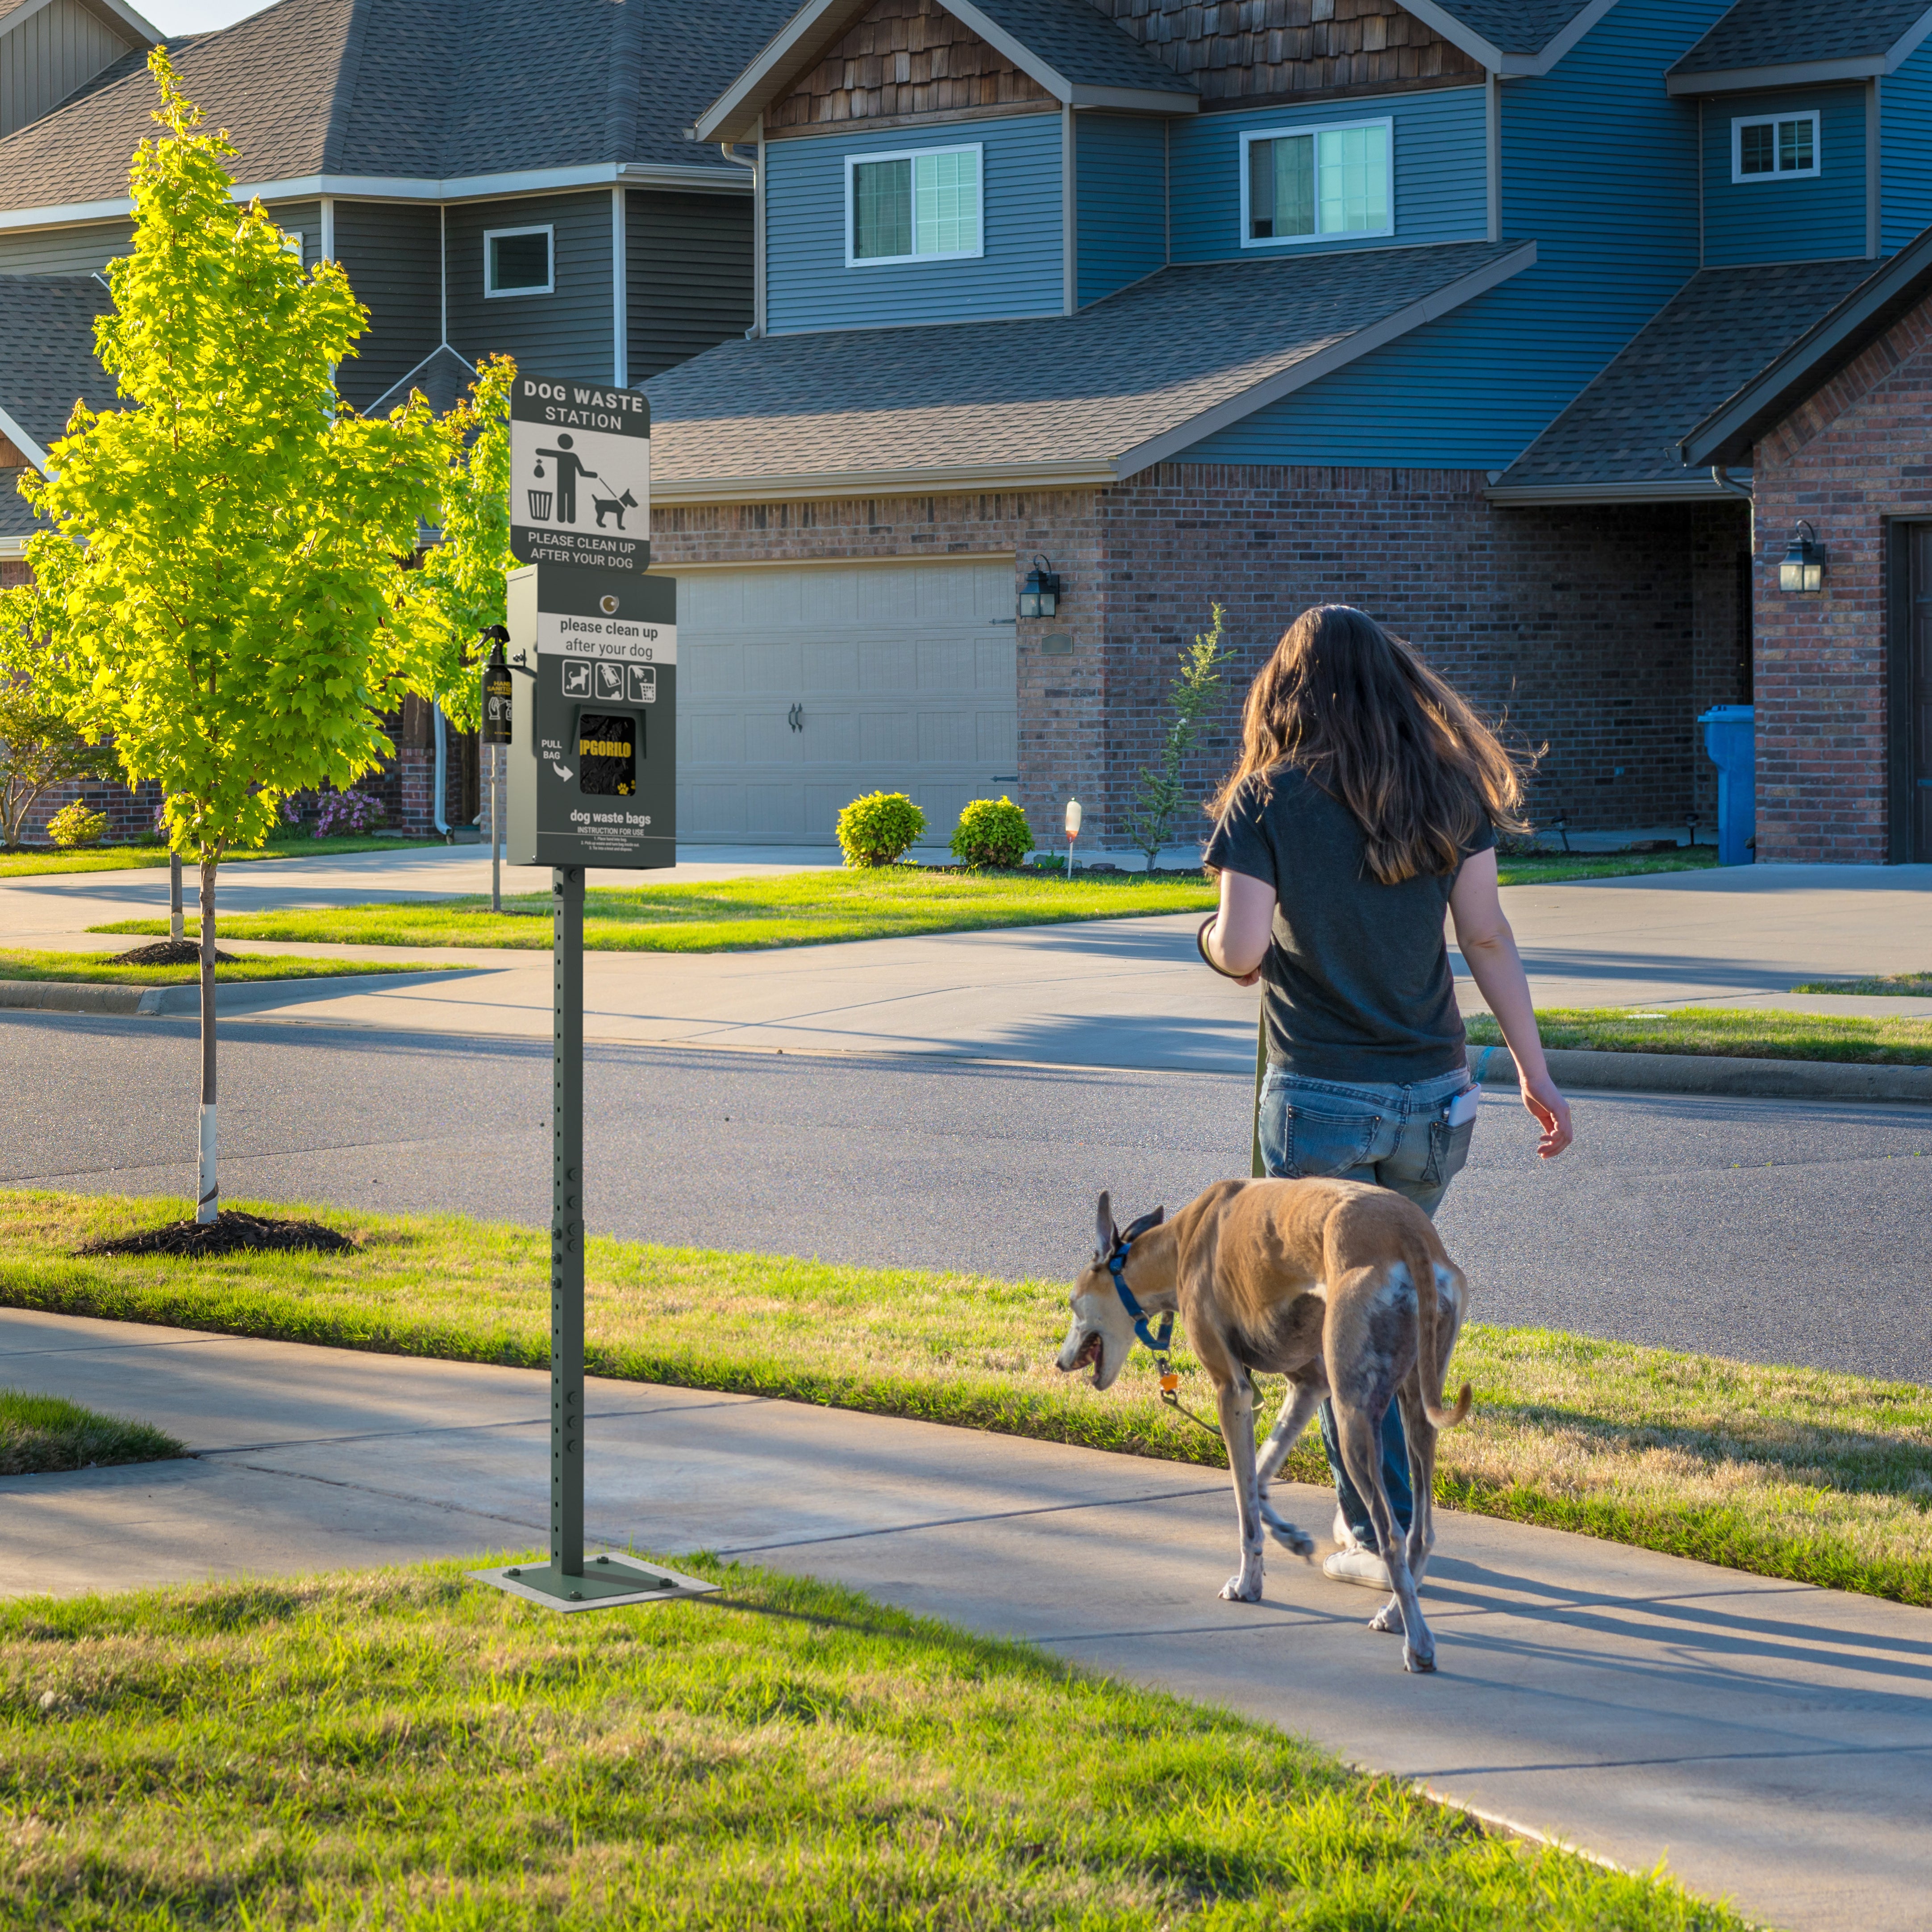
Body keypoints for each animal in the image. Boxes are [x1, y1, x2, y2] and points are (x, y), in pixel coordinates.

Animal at [1051, 1174, 1468, 1677]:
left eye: (1073, 1303)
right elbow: (1261, 1475)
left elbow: (1243, 1500)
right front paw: (1290, 1536)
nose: (1059, 1362)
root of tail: (1411, 1232)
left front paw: (1248, 1583)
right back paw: (1393, 1615)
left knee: (1390, 1535)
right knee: (1420, 1532)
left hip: (1352, 1411)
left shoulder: (1232, 1390)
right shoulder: (1310, 1383)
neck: (1179, 1243)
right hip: (1416, 1401)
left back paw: (1418, 1644)